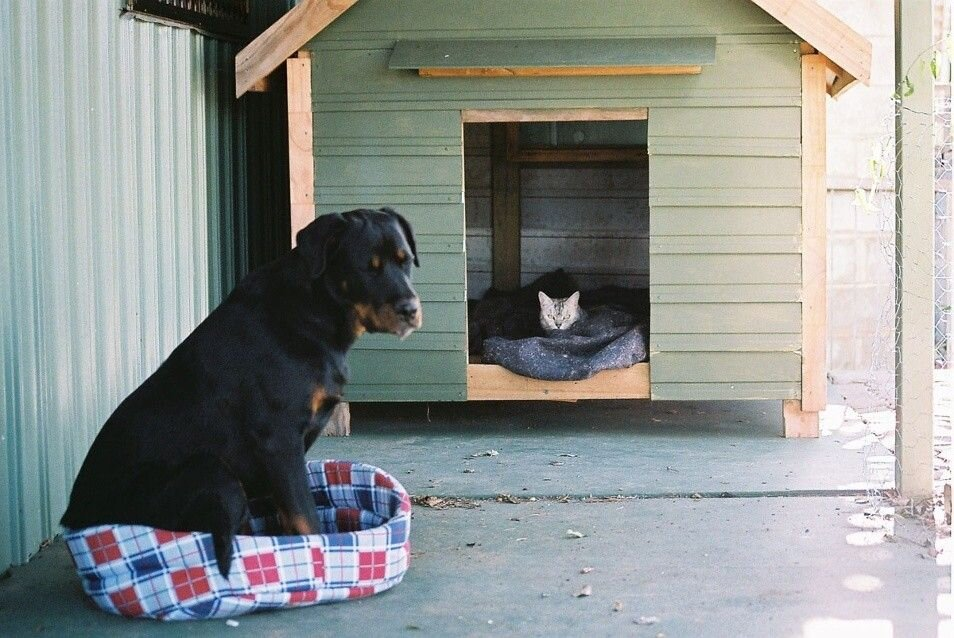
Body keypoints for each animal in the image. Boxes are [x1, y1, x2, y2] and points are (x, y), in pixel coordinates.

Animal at [59, 210, 416, 580]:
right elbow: (306, 518)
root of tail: (74, 517)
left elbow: (289, 517)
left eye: (405, 261)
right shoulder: (279, 440)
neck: (314, 310)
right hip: (211, 473)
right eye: (367, 268)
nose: (410, 308)